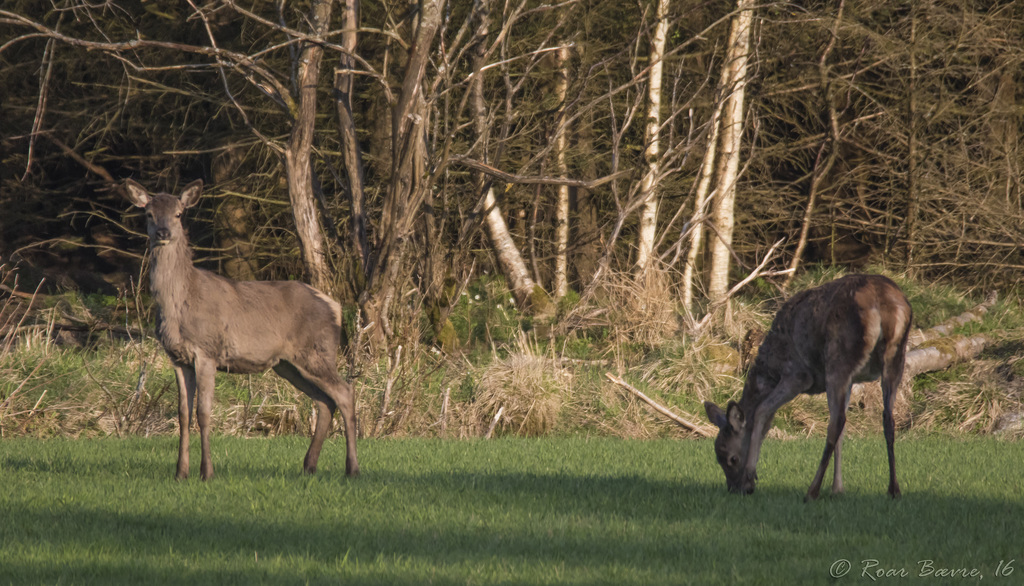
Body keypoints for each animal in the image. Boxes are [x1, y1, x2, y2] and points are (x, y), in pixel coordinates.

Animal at [124, 178, 360, 481]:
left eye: (178, 214)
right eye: (149, 214)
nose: (163, 232)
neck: (181, 303)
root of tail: (336, 307)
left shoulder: (207, 351)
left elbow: (203, 412)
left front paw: (207, 472)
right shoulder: (177, 358)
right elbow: (183, 414)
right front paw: (180, 473)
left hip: (317, 351)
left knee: (345, 393)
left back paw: (352, 468)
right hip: (288, 364)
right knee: (324, 401)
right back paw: (309, 465)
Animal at [704, 274, 913, 499]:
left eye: (731, 458)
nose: (734, 489)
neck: (771, 368)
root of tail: (885, 303)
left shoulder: (797, 375)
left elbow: (761, 411)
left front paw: (751, 475)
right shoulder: (852, 380)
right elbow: (844, 432)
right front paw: (838, 488)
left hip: (838, 357)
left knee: (836, 422)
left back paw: (812, 491)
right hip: (895, 357)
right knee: (887, 419)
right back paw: (894, 489)